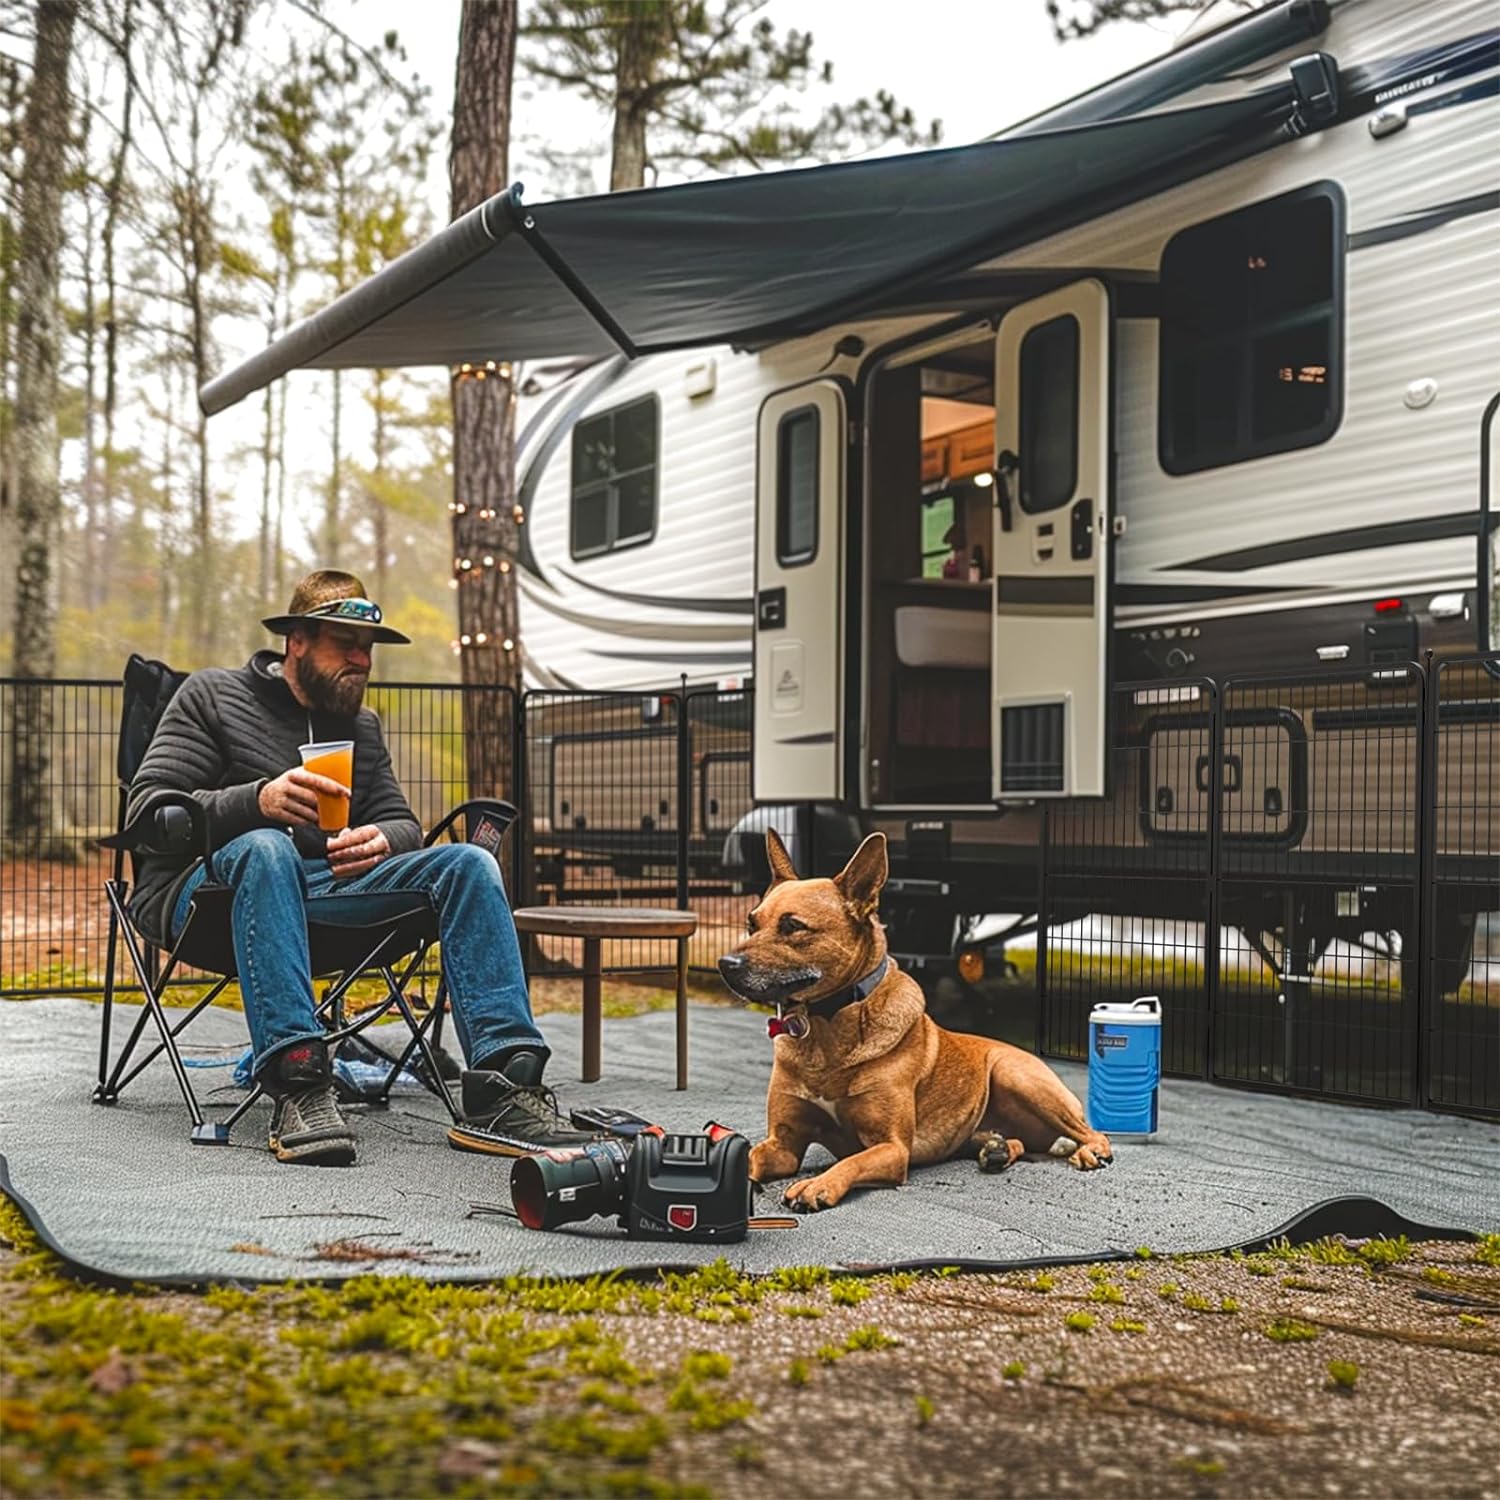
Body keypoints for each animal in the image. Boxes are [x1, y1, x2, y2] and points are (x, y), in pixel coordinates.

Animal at [714, 828, 1116, 1212]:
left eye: (793, 926)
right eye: (751, 924)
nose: (724, 964)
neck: (826, 1029)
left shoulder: (892, 1148)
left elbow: (850, 1162)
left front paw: (817, 1185)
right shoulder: (782, 1144)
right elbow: (751, 1156)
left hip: (1016, 1075)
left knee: (1091, 1132)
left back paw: (1089, 1151)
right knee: (1021, 1143)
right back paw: (998, 1148)